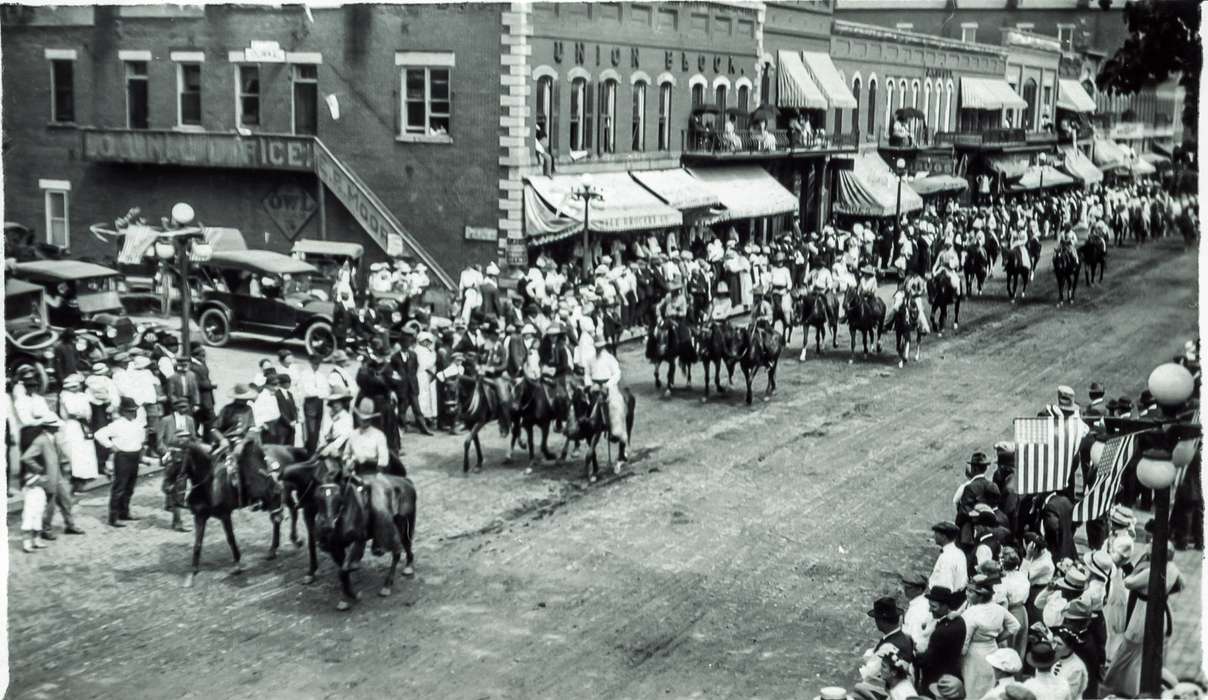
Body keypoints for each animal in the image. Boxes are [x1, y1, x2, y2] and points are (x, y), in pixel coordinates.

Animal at [175, 440, 285, 589]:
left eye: (180, 459)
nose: (179, 479)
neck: (210, 486)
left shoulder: (225, 515)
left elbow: (230, 538)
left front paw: (237, 565)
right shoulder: (200, 516)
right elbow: (197, 544)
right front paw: (192, 574)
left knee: (277, 520)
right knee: (275, 519)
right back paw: (274, 549)